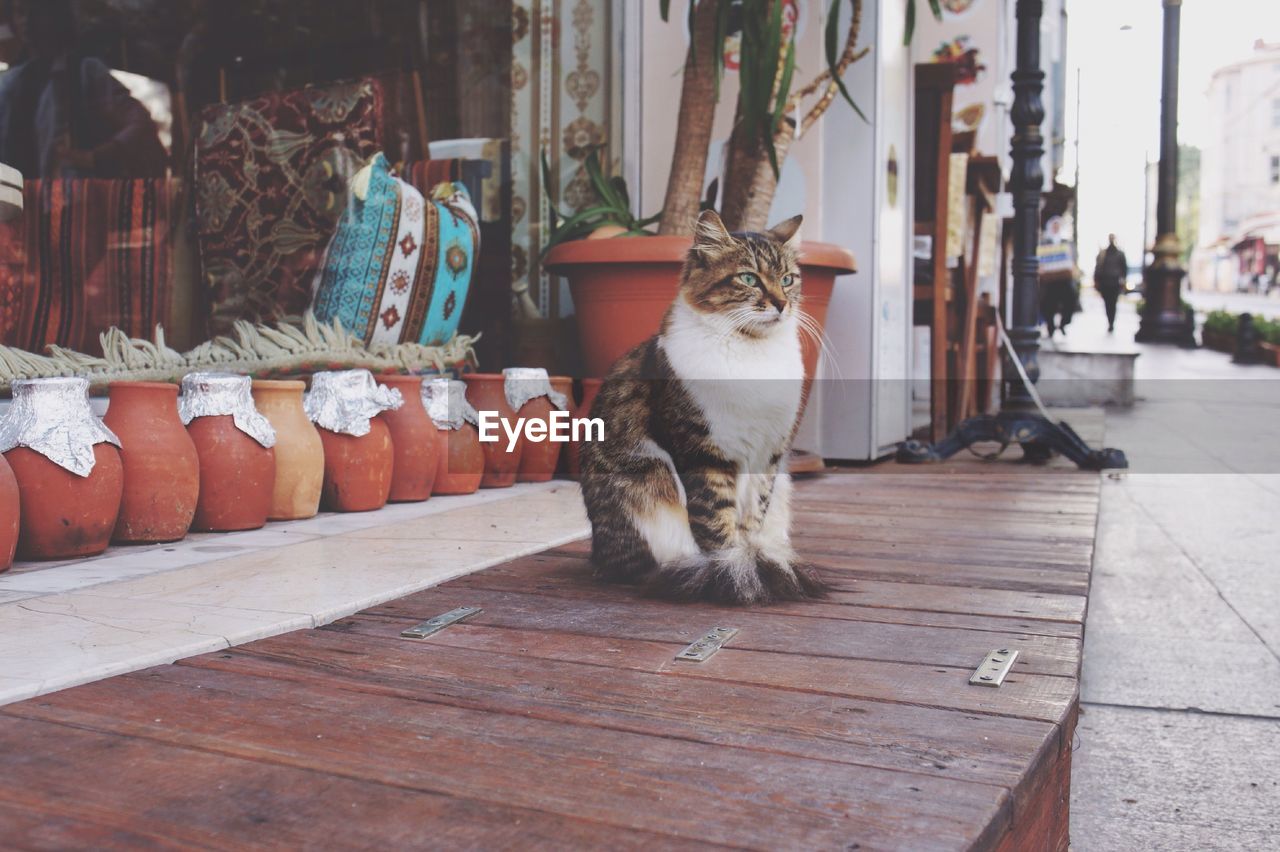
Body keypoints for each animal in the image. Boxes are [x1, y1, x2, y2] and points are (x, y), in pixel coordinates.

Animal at [576, 208, 824, 601]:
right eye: (749, 278)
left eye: (788, 280)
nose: (782, 304)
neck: (753, 355)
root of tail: (600, 559)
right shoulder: (704, 453)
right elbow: (716, 524)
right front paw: (733, 570)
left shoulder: (768, 455)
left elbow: (753, 518)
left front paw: (753, 560)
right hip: (648, 480)